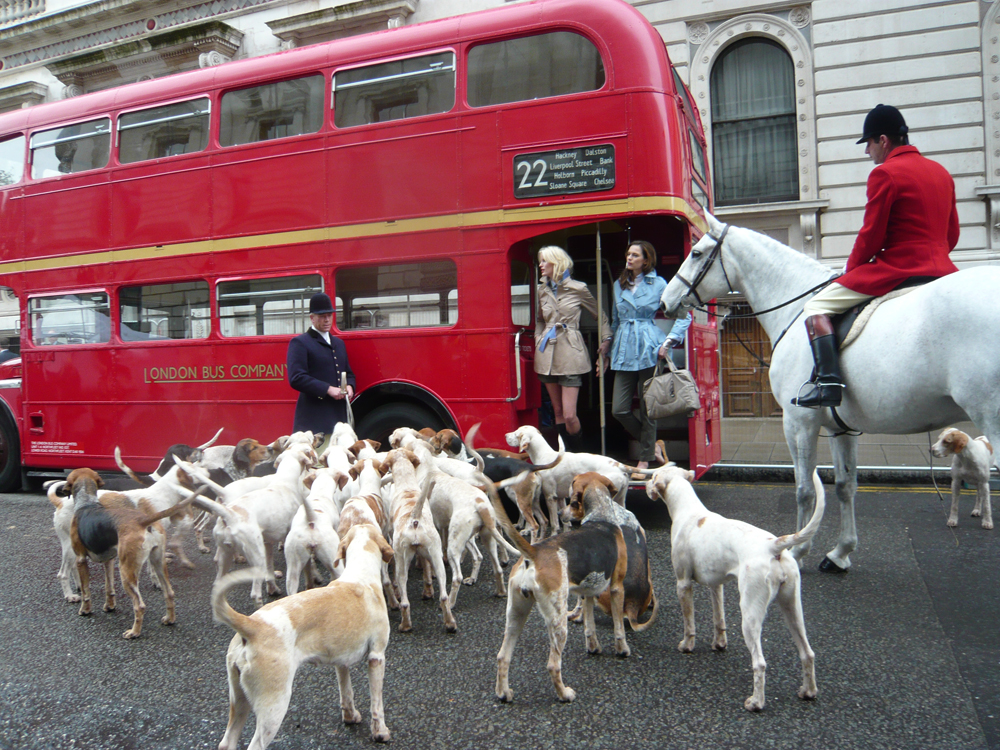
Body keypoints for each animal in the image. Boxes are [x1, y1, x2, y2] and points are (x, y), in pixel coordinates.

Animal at [644, 468, 824, 712]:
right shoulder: (716, 585)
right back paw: (808, 691)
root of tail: (773, 545)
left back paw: (756, 702)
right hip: (792, 609)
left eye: (653, 476)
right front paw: (719, 645)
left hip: (749, 615)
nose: (644, 482)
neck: (688, 511)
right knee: (808, 653)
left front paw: (687, 646)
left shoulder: (683, 583)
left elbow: (689, 623)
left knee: (759, 663)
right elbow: (719, 619)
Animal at [660, 214, 1000, 572]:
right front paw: (841, 552)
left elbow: (805, 489)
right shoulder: (841, 427)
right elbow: (845, 485)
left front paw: (796, 550)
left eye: (696, 252)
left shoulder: (799, 421)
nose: (665, 302)